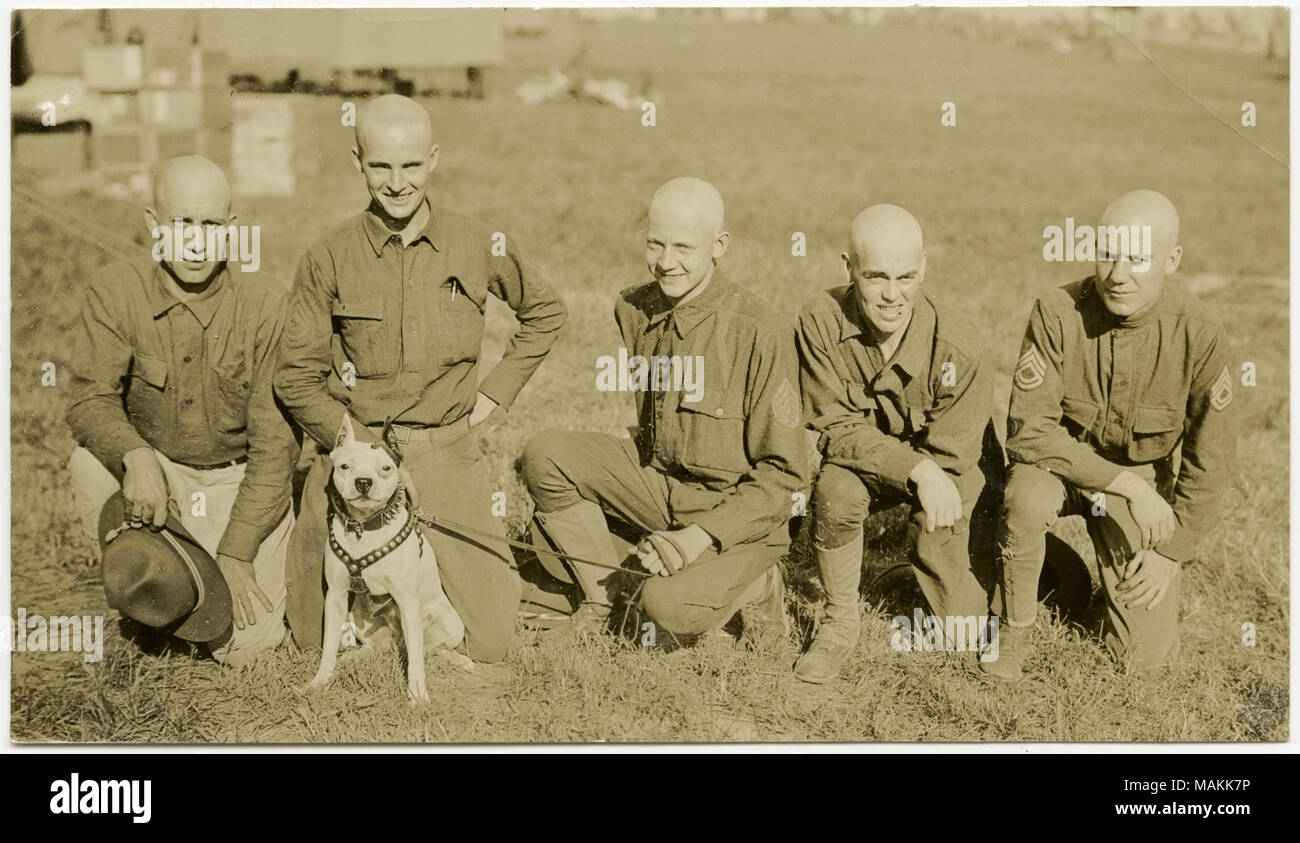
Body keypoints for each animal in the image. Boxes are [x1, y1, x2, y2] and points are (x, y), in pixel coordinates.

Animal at [306, 411, 470, 702]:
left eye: (385, 468)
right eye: (344, 466)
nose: (363, 481)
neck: (364, 527)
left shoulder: (406, 599)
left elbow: (416, 661)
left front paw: (417, 697)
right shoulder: (336, 595)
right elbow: (328, 646)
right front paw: (320, 681)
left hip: (451, 622)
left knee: (431, 650)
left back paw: (459, 660)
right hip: (356, 618)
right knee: (381, 648)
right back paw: (353, 657)